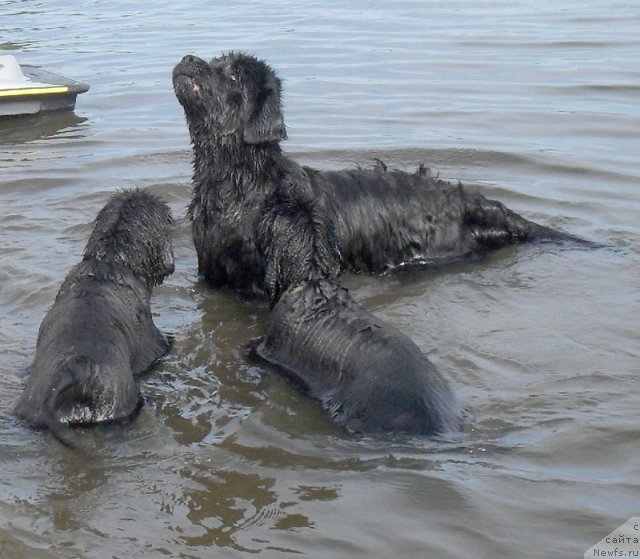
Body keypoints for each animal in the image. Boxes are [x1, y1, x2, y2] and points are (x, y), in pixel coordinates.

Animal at [172, 50, 588, 296]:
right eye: (215, 61)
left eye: (234, 75)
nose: (188, 56)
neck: (238, 183)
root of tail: (463, 198)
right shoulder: (211, 269)